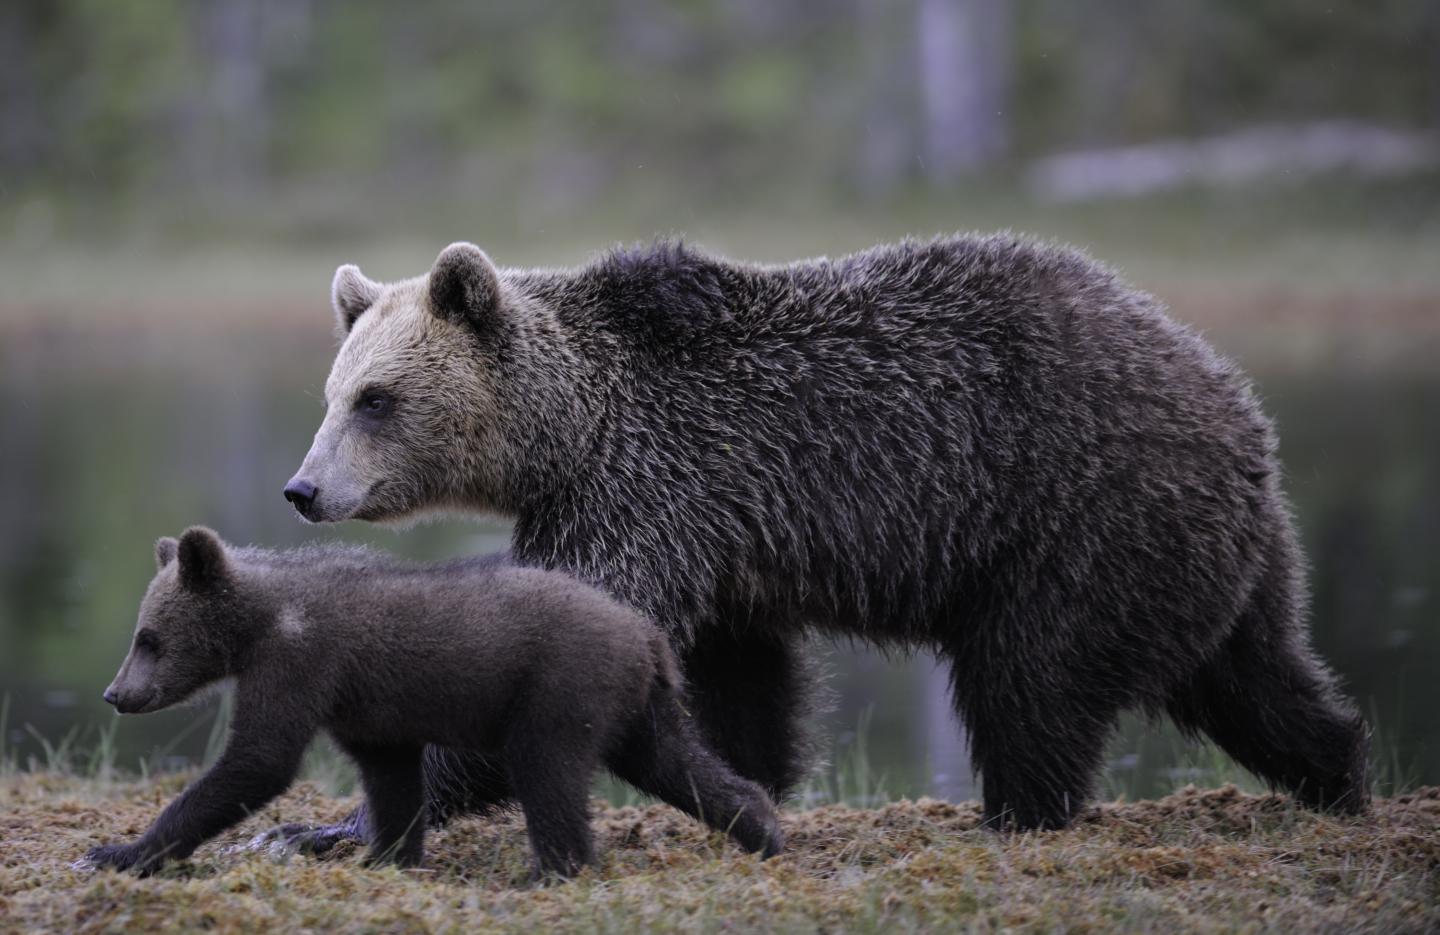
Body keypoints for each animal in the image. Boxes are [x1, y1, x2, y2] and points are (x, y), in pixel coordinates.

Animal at [83, 527, 784, 878]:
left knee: (547, 772)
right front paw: (388, 857)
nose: (116, 693)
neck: (261, 624)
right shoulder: (367, 713)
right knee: (675, 763)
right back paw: (763, 828)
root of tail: (647, 634)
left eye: (149, 637)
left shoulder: (302, 665)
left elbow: (258, 761)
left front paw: (120, 851)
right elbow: (391, 779)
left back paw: (556, 868)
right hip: (634, 705)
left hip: (558, 688)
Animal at [277, 234, 1369, 842]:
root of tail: (1224, 390)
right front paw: (746, 785)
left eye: (377, 398)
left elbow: (560, 652)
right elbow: (742, 684)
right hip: (1209, 549)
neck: (570, 429)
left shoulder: (648, 484)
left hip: (1081, 516)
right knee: (1256, 674)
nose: (303, 487)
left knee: (1030, 676)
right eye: (333, 393)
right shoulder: (717, 534)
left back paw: (1018, 812)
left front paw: (327, 826)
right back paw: (1341, 772)